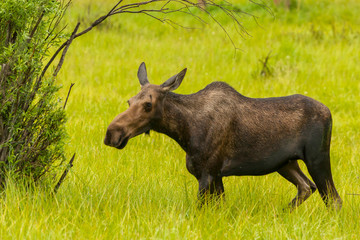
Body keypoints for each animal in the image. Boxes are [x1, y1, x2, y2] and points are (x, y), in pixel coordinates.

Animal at [102, 62, 342, 210]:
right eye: (129, 101)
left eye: (148, 105)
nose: (112, 133)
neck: (184, 132)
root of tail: (329, 112)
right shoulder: (215, 176)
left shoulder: (208, 173)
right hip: (285, 163)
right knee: (306, 187)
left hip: (317, 157)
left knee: (333, 199)